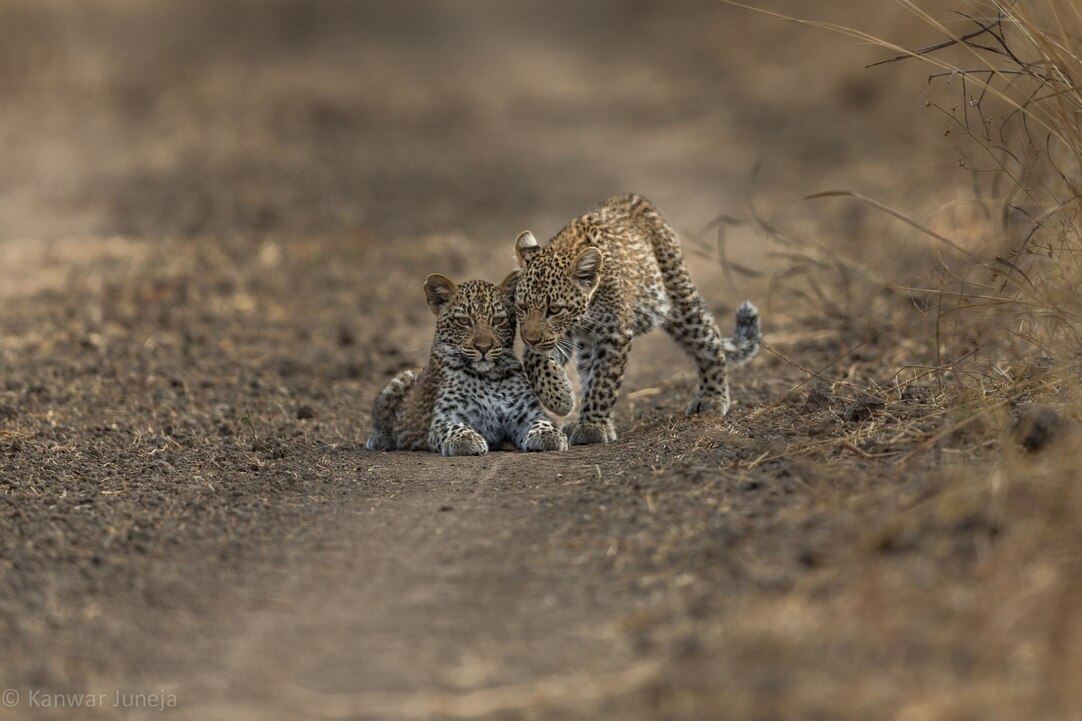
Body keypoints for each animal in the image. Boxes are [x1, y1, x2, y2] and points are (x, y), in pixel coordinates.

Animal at [365, 272, 568, 456]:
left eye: (498, 320)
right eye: (464, 321)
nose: (483, 347)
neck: (488, 377)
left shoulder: (527, 412)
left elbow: (544, 422)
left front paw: (549, 435)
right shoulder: (445, 416)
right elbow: (454, 427)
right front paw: (466, 440)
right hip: (395, 384)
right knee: (380, 419)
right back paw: (380, 439)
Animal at [512, 193, 762, 445]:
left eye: (554, 309)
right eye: (522, 307)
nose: (530, 339)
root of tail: (634, 198)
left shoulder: (613, 335)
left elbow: (603, 382)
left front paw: (592, 426)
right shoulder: (563, 337)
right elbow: (535, 360)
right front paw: (559, 398)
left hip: (680, 302)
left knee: (710, 341)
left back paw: (712, 398)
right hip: (589, 342)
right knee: (586, 368)